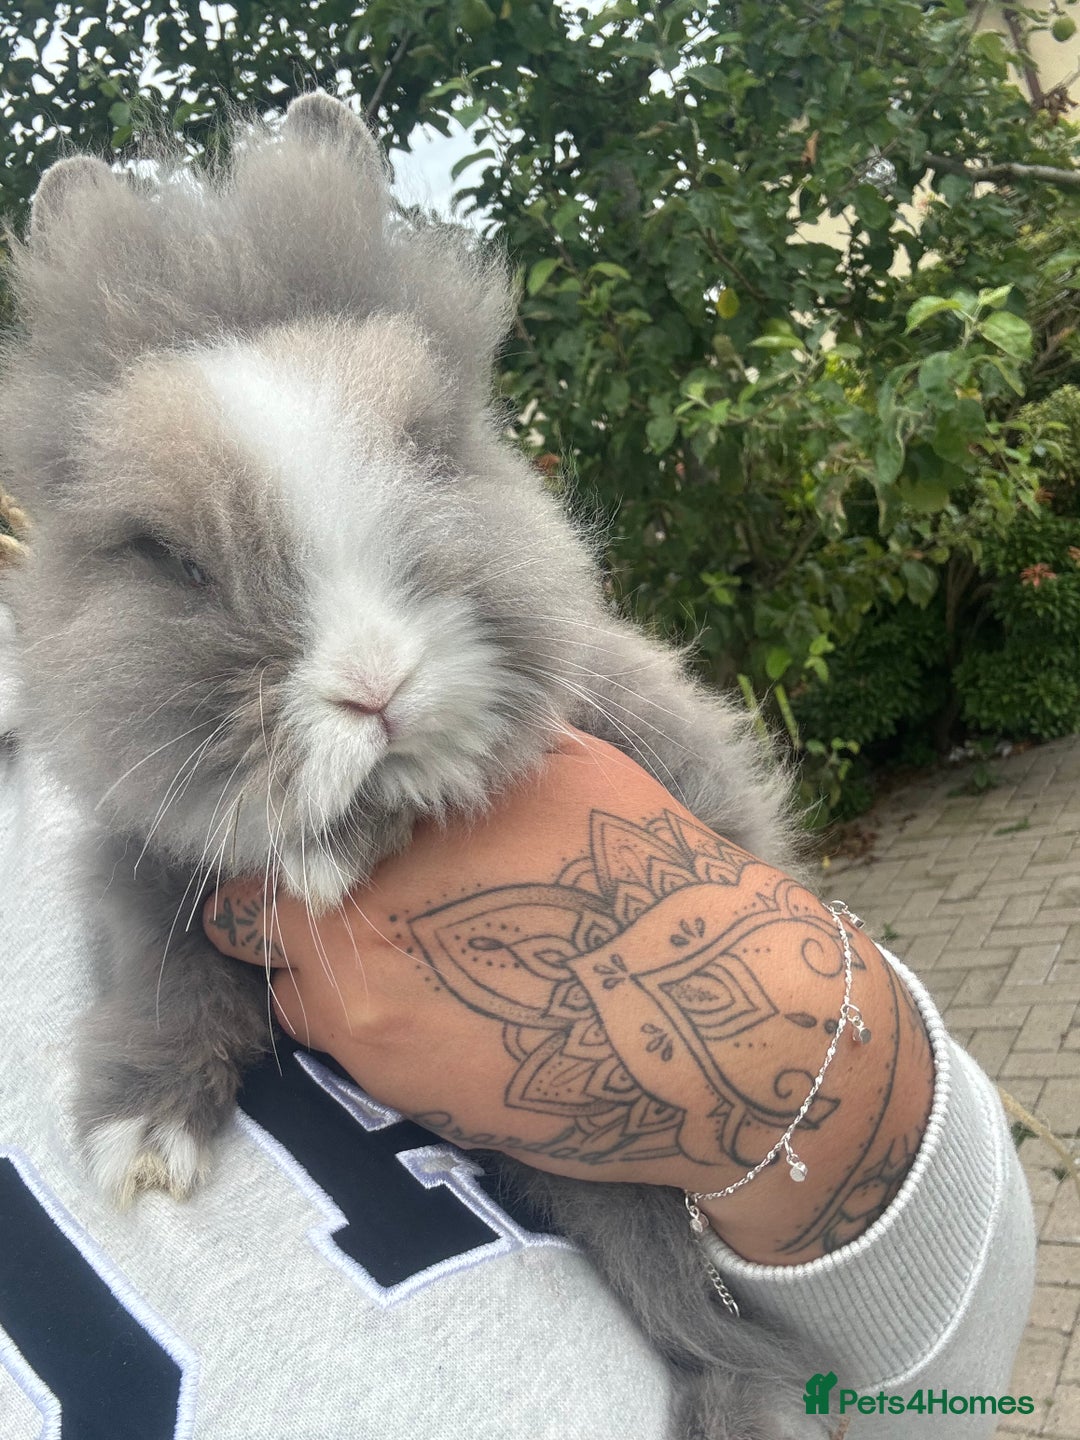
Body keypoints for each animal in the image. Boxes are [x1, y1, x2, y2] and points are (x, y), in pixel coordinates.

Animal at [0, 94, 823, 1439]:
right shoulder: (146, 855)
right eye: (168, 558)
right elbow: (157, 969)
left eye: (431, 452)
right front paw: (144, 1142)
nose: (376, 681)